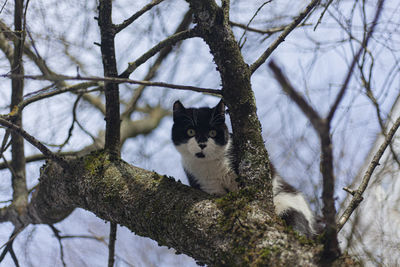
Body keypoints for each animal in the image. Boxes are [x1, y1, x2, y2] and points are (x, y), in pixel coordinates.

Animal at [171, 100, 318, 239]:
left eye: (212, 132)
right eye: (191, 131)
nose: (202, 144)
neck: (210, 164)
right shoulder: (204, 183)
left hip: (288, 202)